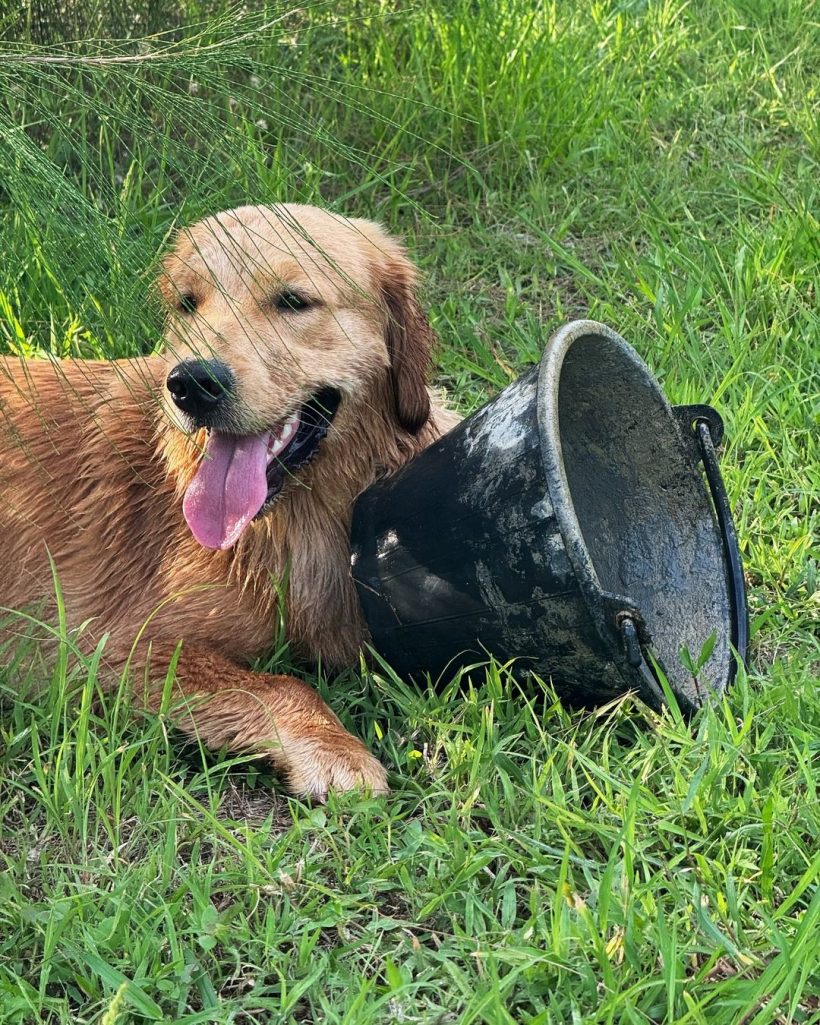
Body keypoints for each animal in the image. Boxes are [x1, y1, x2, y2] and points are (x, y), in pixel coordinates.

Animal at [0, 206, 457, 799]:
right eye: (188, 303)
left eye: (293, 300)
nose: (192, 383)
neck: (298, 516)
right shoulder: (105, 648)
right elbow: (279, 685)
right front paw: (335, 751)